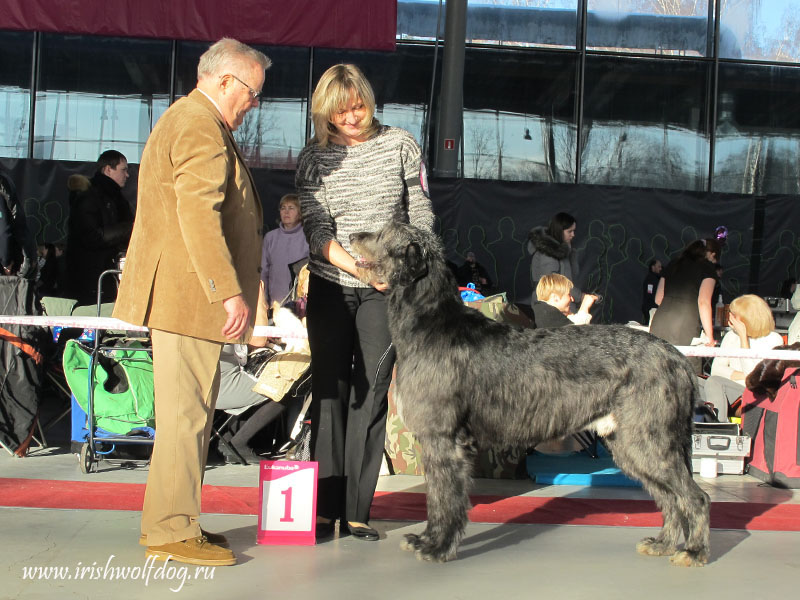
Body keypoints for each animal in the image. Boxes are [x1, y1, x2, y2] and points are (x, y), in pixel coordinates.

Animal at [352, 221, 712, 568]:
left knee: (694, 497)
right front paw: (427, 540)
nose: (353, 235)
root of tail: (677, 358)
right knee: (669, 498)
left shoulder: (443, 438)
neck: (432, 321)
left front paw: (438, 547)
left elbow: (444, 498)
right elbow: (437, 497)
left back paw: (694, 551)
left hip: (648, 439)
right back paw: (663, 544)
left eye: (385, 232)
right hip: (630, 443)